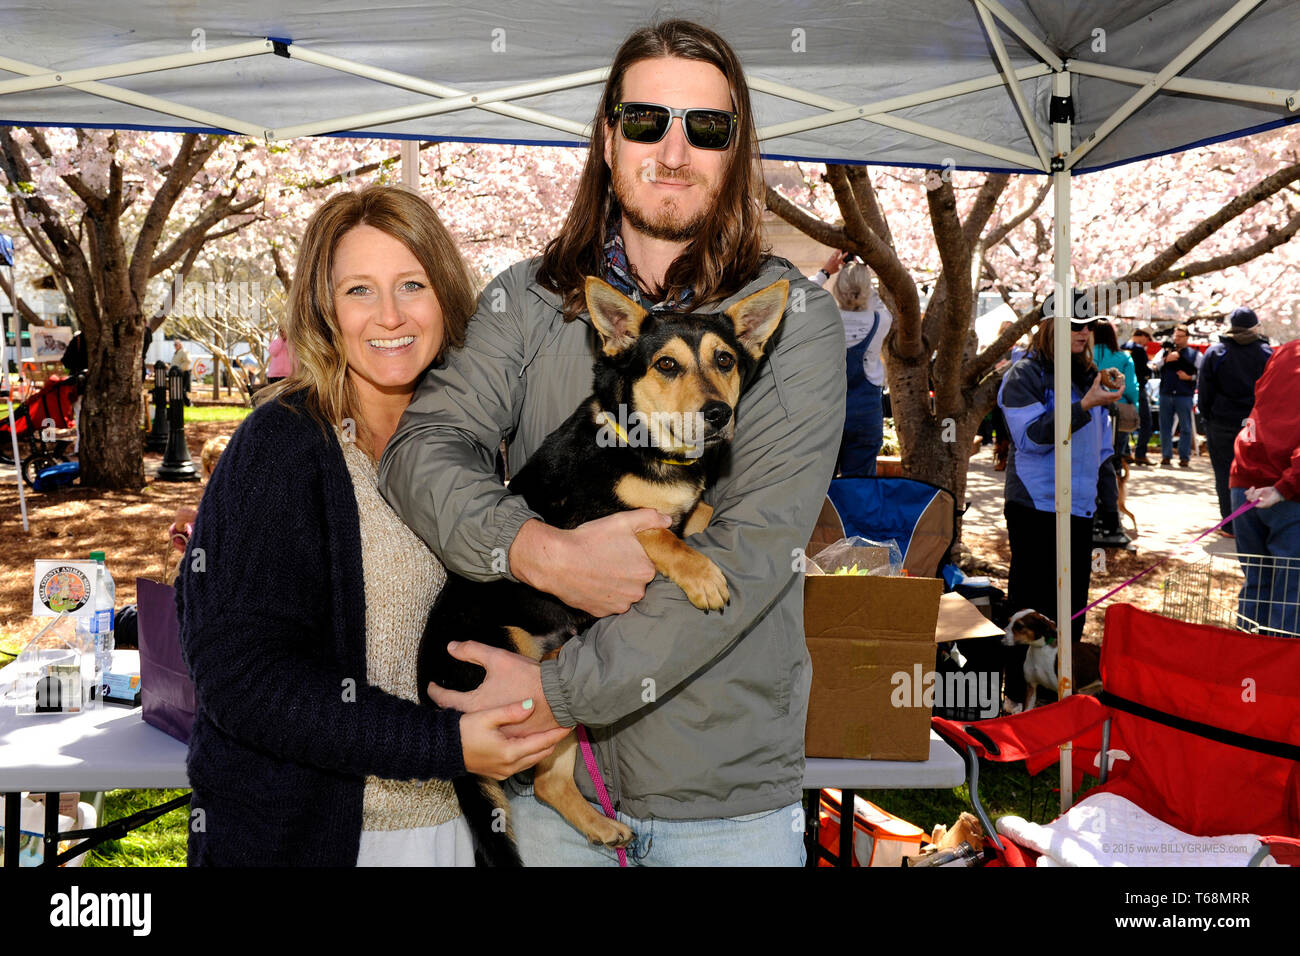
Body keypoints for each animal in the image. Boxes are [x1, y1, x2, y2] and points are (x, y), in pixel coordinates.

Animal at [426, 273, 785, 863]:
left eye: (726, 360)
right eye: (666, 365)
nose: (717, 414)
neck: (647, 449)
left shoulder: (687, 500)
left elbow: (697, 512)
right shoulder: (587, 525)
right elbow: (654, 531)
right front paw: (703, 576)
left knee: (548, 782)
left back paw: (602, 827)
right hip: (511, 658)